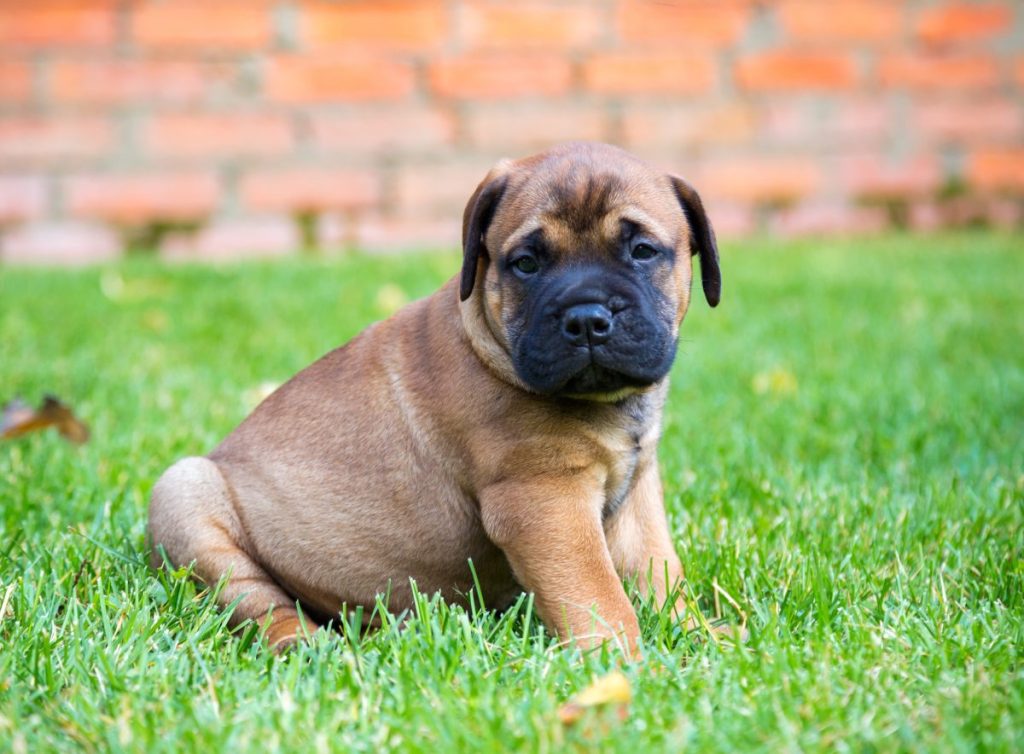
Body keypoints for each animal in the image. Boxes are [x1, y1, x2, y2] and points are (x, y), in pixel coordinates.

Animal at [148, 142, 724, 655]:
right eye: (527, 263)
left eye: (642, 251)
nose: (586, 318)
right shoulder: (544, 500)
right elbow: (596, 594)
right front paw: (625, 663)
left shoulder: (638, 494)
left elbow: (659, 572)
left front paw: (702, 636)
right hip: (185, 493)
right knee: (261, 604)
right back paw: (309, 646)